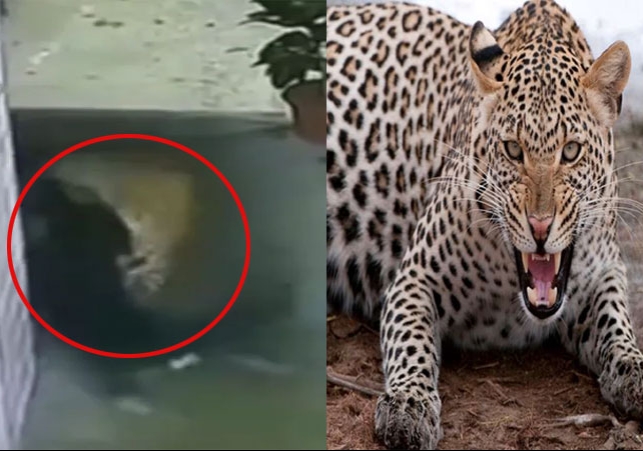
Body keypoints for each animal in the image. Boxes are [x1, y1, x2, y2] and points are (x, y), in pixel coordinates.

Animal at [326, 0, 643, 448]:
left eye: (571, 151)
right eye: (512, 149)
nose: (540, 227)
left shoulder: (605, 271)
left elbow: (616, 321)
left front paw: (635, 371)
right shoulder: (414, 278)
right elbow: (411, 342)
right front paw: (409, 404)